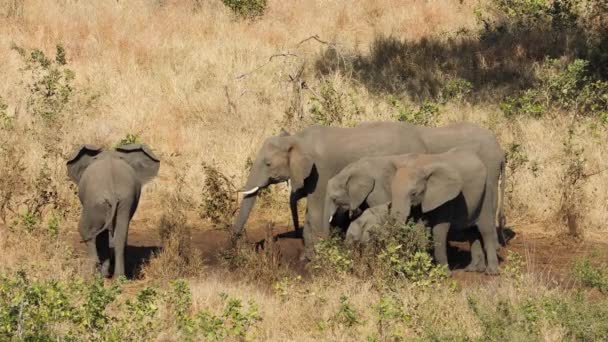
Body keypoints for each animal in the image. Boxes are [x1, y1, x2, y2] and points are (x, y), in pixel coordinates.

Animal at [66, 144, 159, 278]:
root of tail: (112, 192)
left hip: (96, 202)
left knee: (86, 231)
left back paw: (94, 272)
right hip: (125, 200)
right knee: (120, 235)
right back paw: (119, 277)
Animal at [232, 121, 504, 260]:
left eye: (268, 164)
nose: (230, 248)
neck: (298, 138)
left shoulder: (321, 170)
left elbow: (316, 211)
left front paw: (313, 259)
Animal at [328, 148, 498, 276]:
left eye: (414, 193)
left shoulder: (446, 198)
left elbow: (439, 230)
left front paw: (444, 274)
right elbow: (419, 228)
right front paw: (421, 267)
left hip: (487, 190)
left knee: (486, 229)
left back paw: (491, 272)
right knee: (470, 230)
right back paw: (474, 269)